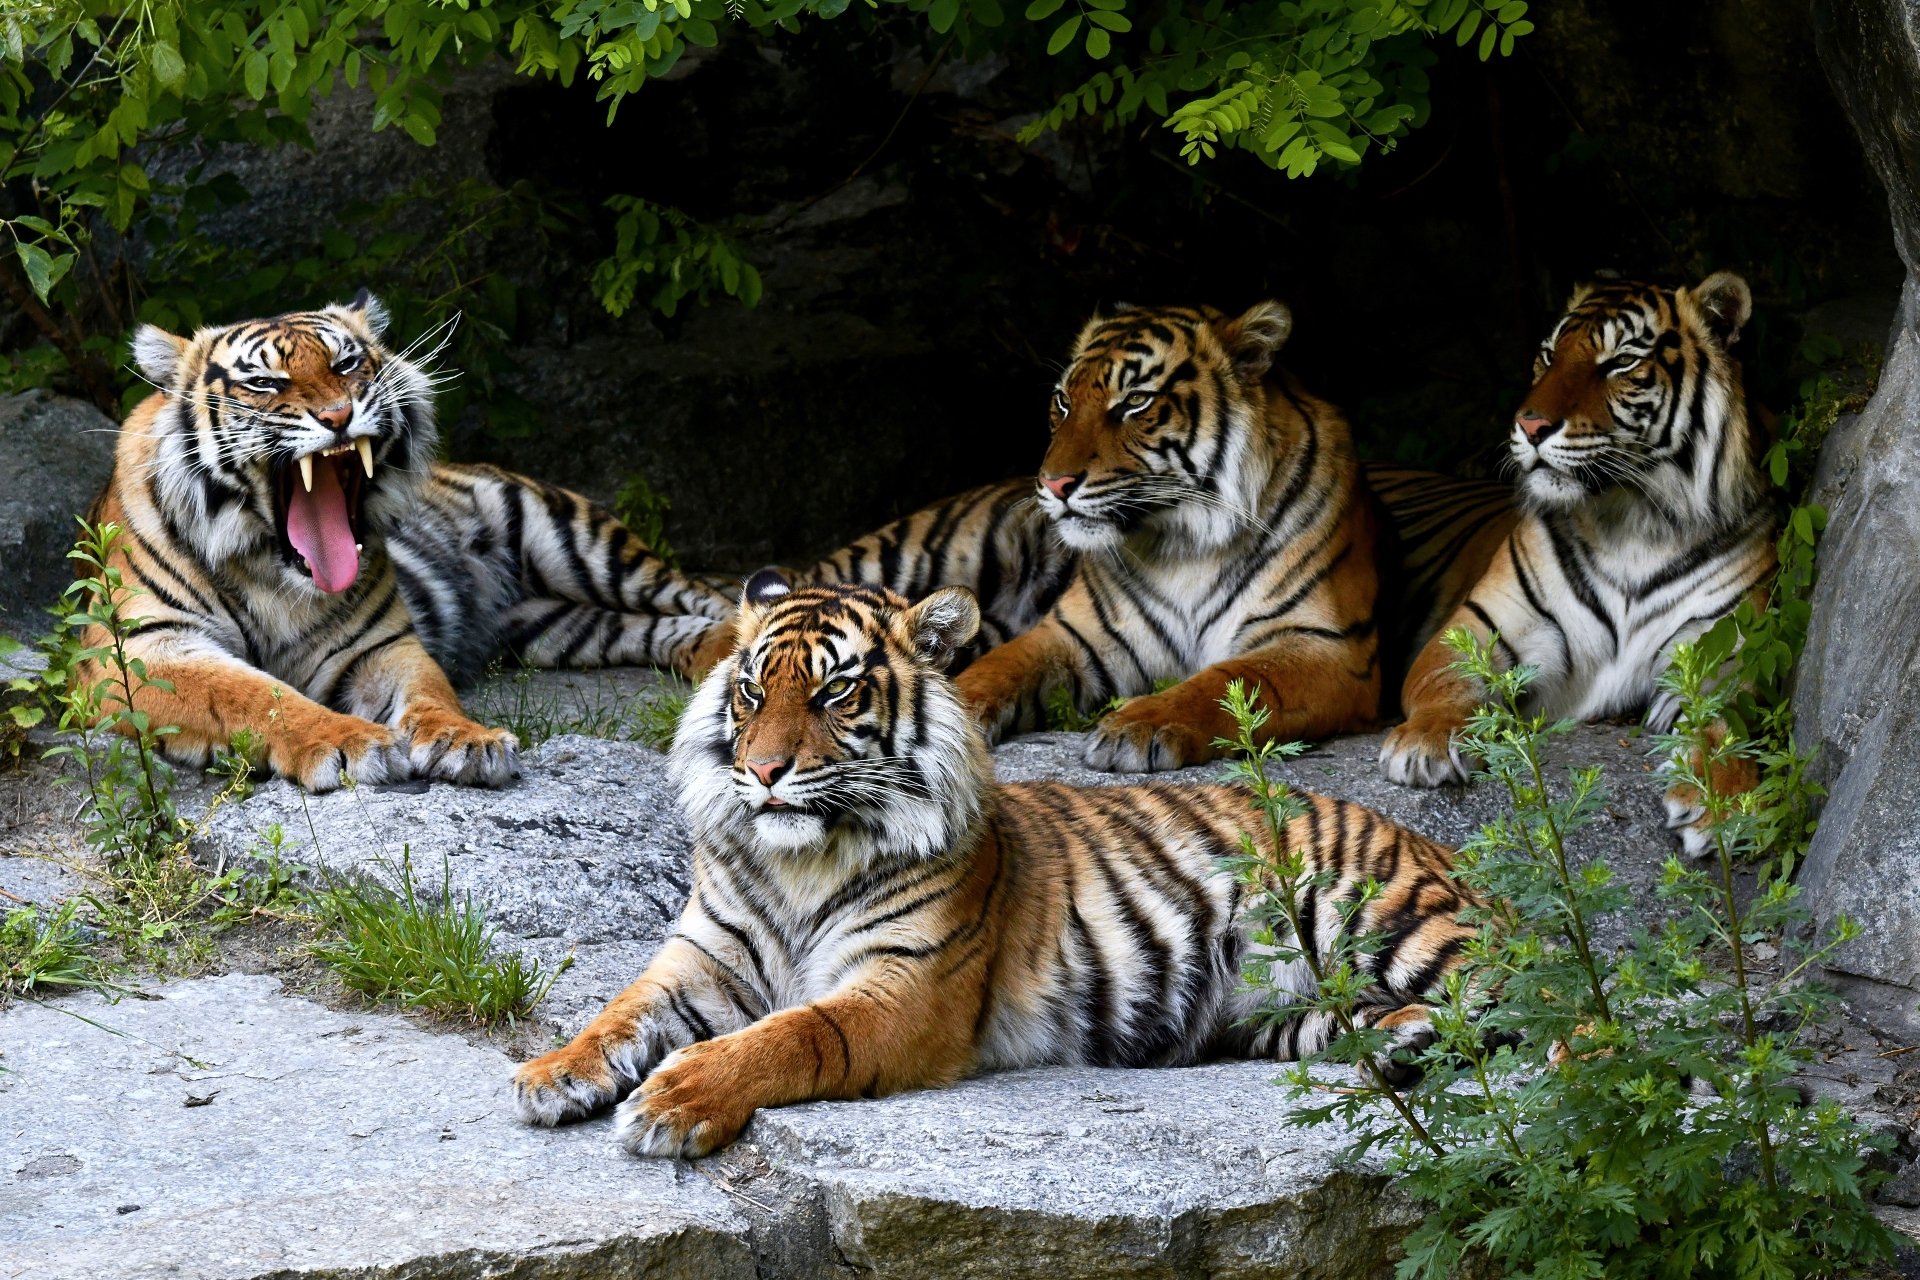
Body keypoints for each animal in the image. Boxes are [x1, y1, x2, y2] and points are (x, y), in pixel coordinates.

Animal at [94, 294, 736, 791]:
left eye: (347, 362)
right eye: (265, 382)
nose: (338, 415)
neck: (274, 572)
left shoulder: (378, 642)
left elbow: (431, 689)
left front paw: (468, 741)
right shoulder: (142, 651)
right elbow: (254, 696)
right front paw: (348, 742)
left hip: (579, 544)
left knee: (710, 599)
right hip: (551, 626)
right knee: (657, 627)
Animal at [511, 574, 1478, 1157]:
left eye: (834, 692)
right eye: (750, 690)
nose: (763, 769)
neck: (800, 864)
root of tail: (1429, 842)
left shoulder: (905, 991)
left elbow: (790, 1036)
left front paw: (670, 1102)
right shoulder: (701, 961)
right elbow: (620, 1011)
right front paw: (552, 1075)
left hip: (1388, 920)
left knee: (1512, 994)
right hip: (1277, 1013)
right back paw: (1404, 1043)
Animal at [1379, 272, 1775, 854]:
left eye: (1621, 362)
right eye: (1547, 355)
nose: (1529, 424)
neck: (1634, 523)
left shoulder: (1727, 646)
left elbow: (1729, 721)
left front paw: (1723, 804)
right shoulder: (1479, 627)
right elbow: (1446, 682)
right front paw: (1425, 744)